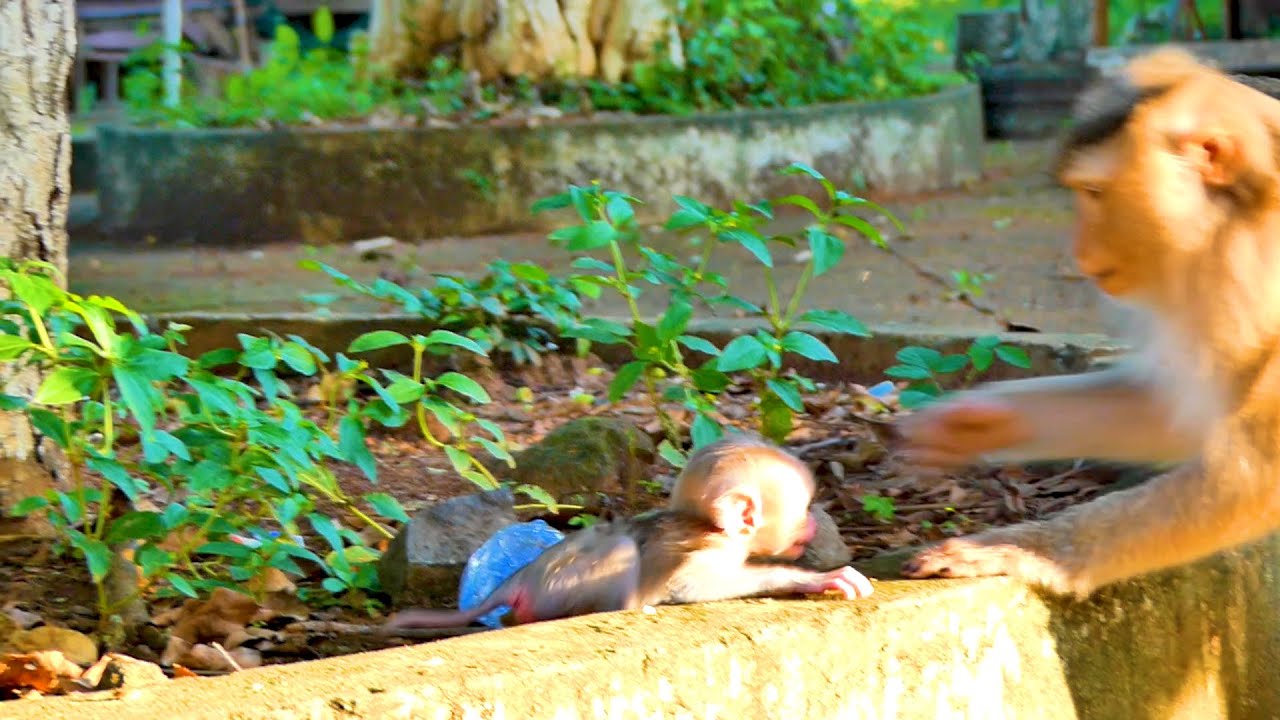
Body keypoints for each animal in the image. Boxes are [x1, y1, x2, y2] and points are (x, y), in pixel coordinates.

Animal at [386, 436, 872, 629]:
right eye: (802, 508)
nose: (813, 522)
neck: (711, 527)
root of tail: (518, 578)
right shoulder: (706, 552)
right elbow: (694, 584)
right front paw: (818, 578)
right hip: (563, 586)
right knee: (620, 548)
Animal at [893, 47, 1280, 599]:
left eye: (1094, 192)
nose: (1077, 252)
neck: (1242, 230)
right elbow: (1177, 415)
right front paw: (974, 422)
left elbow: (1252, 473)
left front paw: (1016, 550)